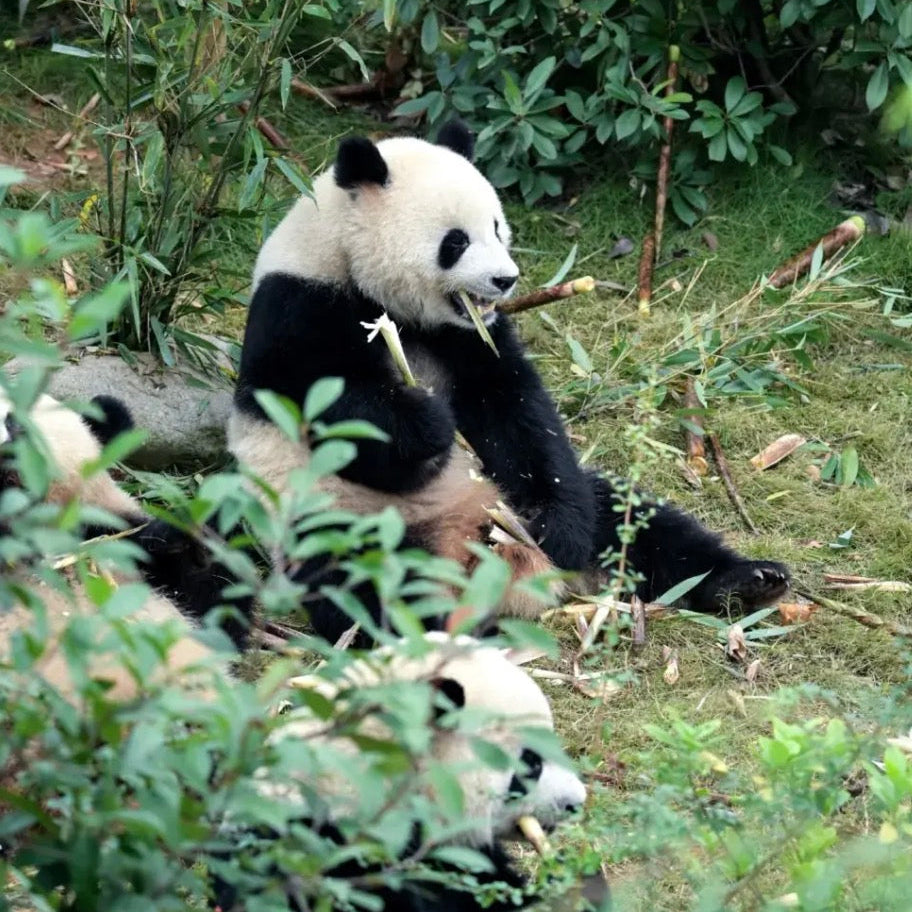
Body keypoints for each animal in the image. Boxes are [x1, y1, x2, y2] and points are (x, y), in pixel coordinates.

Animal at [228, 119, 790, 645]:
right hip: (339, 519)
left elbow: (515, 411)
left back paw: (747, 579)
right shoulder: (298, 307)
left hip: (525, 501)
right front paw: (426, 425)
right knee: (362, 578)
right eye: (456, 241)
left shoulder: (470, 337)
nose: (506, 280)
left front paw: (556, 530)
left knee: (633, 521)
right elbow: (321, 405)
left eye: (498, 228)